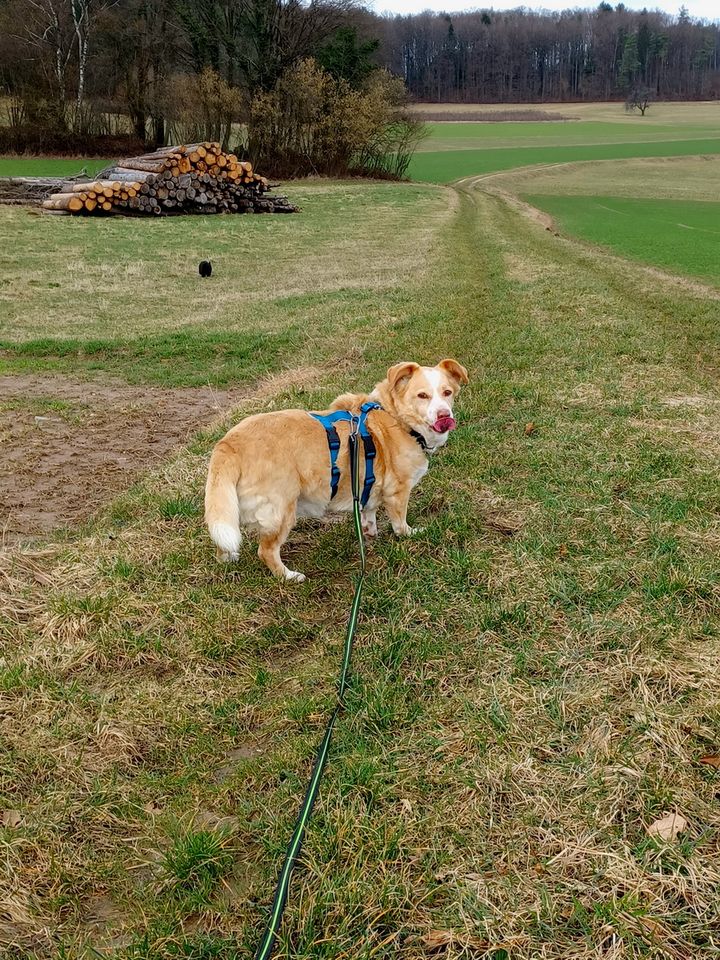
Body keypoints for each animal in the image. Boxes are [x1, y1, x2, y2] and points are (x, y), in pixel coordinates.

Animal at [205, 360, 470, 580]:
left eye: (447, 393)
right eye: (422, 396)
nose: (444, 415)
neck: (396, 418)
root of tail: (229, 443)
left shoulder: (368, 486)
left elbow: (369, 513)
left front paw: (369, 533)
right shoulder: (398, 491)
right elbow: (400, 523)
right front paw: (408, 533)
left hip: (230, 509)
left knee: (223, 540)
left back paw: (228, 558)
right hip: (281, 511)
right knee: (266, 551)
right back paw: (288, 576)